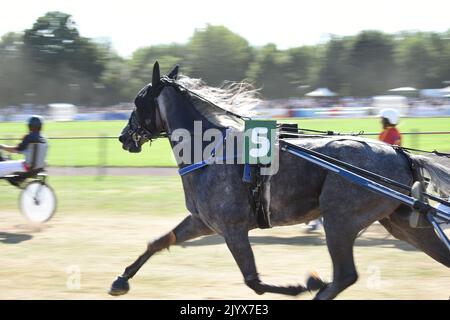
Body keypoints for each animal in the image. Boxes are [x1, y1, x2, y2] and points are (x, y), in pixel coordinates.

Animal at [110, 62, 450, 300]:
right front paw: (121, 280)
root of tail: (402, 155)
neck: (211, 149)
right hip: (403, 223)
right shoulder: (203, 222)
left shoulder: (232, 228)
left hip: (340, 218)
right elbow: (159, 241)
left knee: (345, 276)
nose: (123, 136)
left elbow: (254, 281)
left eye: (138, 101)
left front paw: (304, 283)